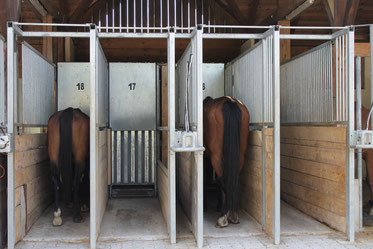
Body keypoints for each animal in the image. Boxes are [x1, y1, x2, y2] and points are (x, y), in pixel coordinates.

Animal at [203, 96, 250, 228]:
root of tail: (231, 102)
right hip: (240, 155)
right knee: (233, 180)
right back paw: (233, 214)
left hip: (217, 156)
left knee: (222, 180)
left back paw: (223, 217)